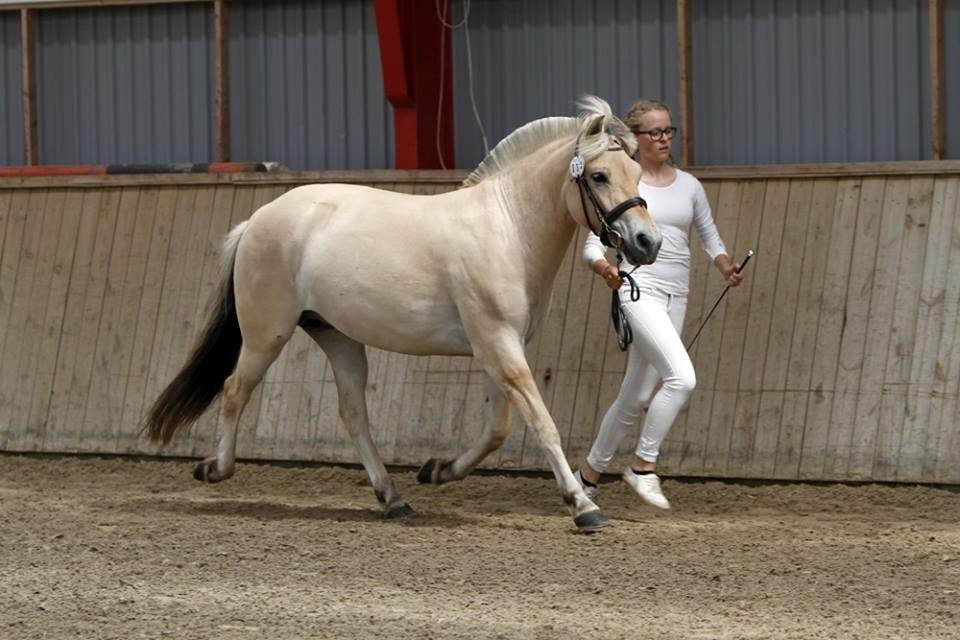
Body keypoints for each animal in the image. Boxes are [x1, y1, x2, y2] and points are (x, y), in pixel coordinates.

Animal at [144, 96, 660, 528]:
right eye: (598, 176)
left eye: (637, 175)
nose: (647, 243)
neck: (506, 229)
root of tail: (257, 220)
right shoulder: (497, 344)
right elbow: (542, 423)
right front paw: (583, 506)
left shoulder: (500, 347)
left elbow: (498, 429)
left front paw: (437, 470)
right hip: (266, 333)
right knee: (235, 390)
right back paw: (214, 469)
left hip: (336, 336)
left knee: (353, 413)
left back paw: (392, 498)